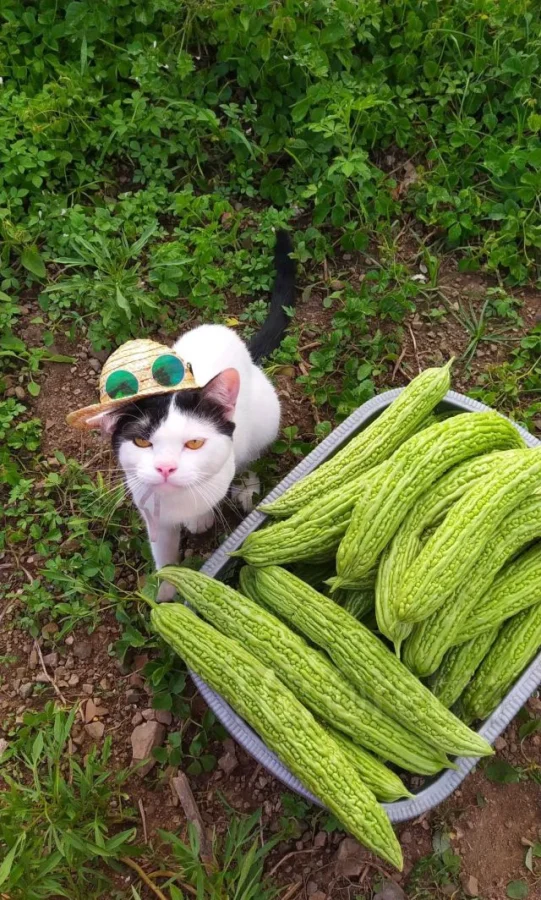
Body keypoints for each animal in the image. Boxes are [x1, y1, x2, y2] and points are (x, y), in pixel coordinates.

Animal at [102, 230, 295, 600]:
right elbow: (165, 558)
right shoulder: (152, 515)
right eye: (142, 442)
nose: (165, 468)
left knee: (251, 454)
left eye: (193, 443)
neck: (175, 501)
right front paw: (164, 596)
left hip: (267, 417)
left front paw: (200, 519)